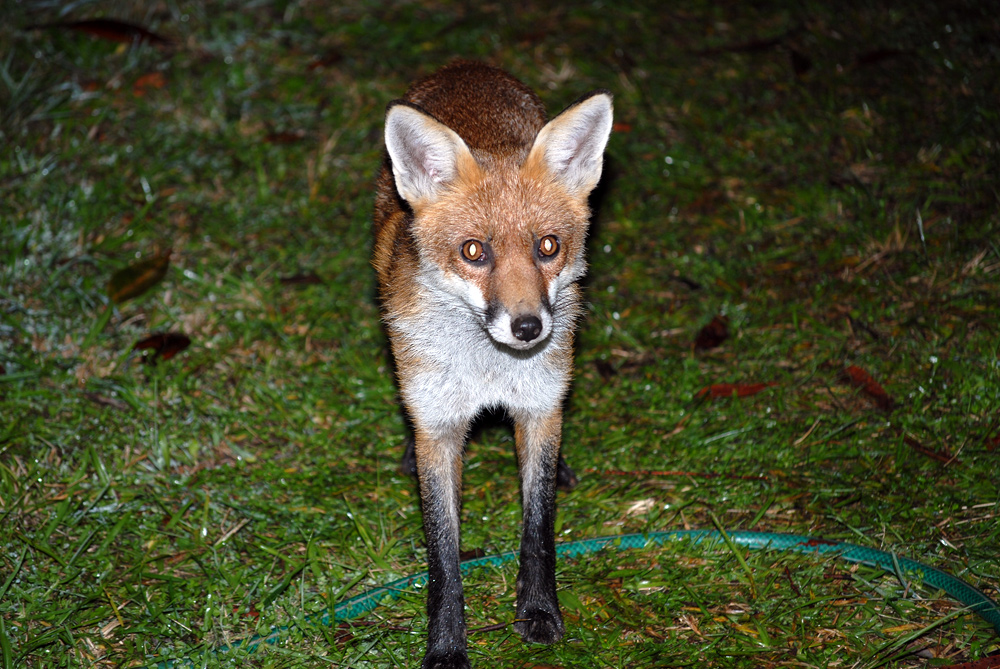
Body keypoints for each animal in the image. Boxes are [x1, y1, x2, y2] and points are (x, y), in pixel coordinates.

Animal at [372, 60, 613, 669]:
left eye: (548, 246)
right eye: (473, 252)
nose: (528, 328)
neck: (490, 371)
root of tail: (467, 67)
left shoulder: (540, 410)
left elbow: (539, 527)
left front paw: (539, 612)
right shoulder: (440, 430)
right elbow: (443, 557)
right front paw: (446, 646)